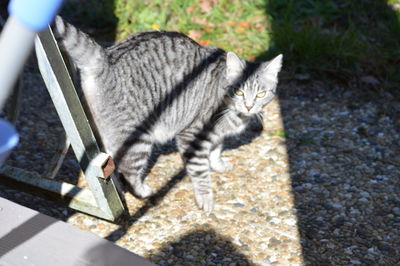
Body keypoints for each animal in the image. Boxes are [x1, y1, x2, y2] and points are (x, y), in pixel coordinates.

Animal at [53, 16, 282, 212]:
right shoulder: (192, 135)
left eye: (261, 93)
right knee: (128, 170)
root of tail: (106, 58)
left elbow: (216, 149)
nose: (249, 107)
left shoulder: (216, 135)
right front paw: (206, 198)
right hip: (138, 138)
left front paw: (218, 164)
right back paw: (143, 191)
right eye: (239, 91)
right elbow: (201, 172)